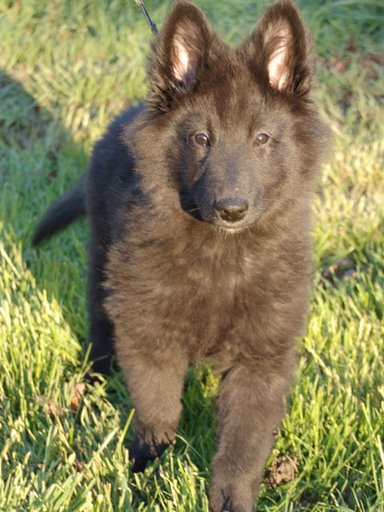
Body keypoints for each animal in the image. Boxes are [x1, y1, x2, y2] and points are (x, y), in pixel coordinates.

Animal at [33, 2, 330, 510]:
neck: (222, 258)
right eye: (201, 139)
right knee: (99, 321)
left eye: (262, 139)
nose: (232, 208)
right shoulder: (149, 331)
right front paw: (148, 465)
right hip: (103, 257)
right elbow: (158, 406)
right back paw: (94, 381)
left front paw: (230, 501)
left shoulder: (261, 358)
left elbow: (242, 449)